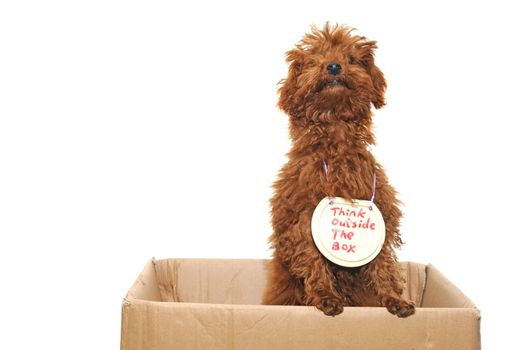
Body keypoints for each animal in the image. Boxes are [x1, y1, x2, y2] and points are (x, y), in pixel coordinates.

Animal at [262, 22, 414, 318]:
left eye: (351, 59)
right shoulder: (302, 219)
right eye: (315, 60)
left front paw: (394, 299)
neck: (337, 140)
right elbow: (313, 260)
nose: (333, 66)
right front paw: (326, 297)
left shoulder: (382, 212)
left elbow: (383, 266)